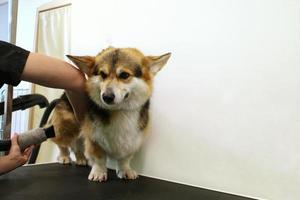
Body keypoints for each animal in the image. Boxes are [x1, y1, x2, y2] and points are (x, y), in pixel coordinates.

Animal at [62, 47, 170, 181]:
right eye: (103, 74)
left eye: (124, 75)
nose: (107, 97)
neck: (119, 111)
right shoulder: (93, 137)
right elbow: (99, 158)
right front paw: (98, 172)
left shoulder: (132, 140)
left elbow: (125, 158)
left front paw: (125, 170)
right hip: (67, 127)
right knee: (64, 144)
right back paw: (65, 157)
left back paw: (81, 159)